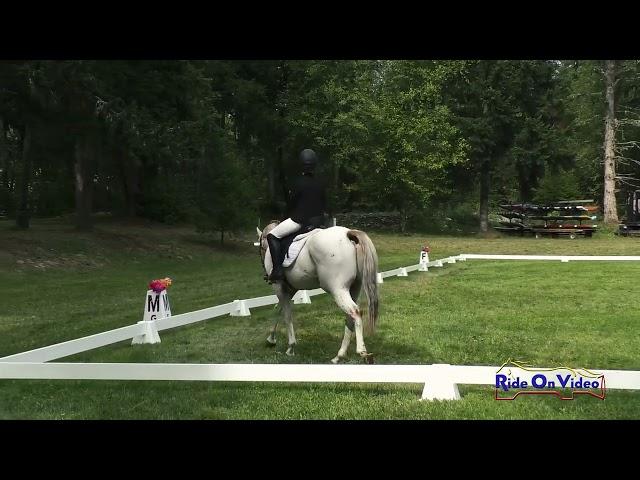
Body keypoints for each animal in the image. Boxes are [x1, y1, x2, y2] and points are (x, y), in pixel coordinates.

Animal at [256, 221, 380, 364]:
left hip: (338, 289)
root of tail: (347, 234)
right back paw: (339, 356)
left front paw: (290, 347)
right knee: (350, 316)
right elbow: (278, 309)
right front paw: (271, 339)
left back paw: (362, 352)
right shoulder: (290, 290)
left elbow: (286, 315)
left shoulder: (279, 287)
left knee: (355, 312)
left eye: (261, 247)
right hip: (354, 288)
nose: (266, 275)